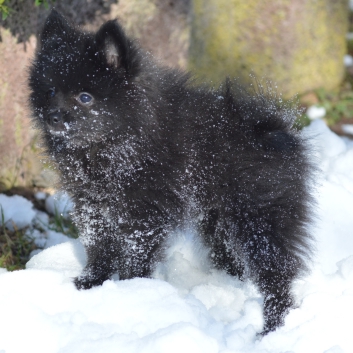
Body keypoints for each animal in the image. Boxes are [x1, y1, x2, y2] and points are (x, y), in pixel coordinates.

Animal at [28, 9, 314, 334]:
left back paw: (273, 328)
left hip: (260, 222)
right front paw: (89, 285)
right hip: (218, 223)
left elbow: (135, 257)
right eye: (50, 91)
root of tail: (272, 129)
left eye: (85, 97)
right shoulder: (94, 206)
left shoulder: (145, 214)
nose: (52, 117)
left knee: (276, 276)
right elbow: (99, 248)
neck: (118, 145)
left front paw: (131, 290)